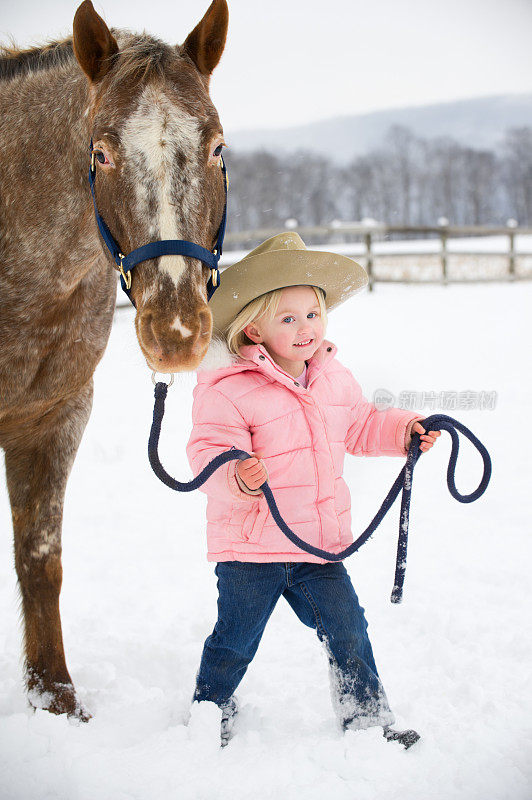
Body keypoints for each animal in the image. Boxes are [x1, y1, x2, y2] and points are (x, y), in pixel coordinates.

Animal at [0, 0, 229, 720]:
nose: (175, 331)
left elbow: (40, 558)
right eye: (100, 152)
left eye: (217, 147)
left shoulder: (54, 414)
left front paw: (56, 699)